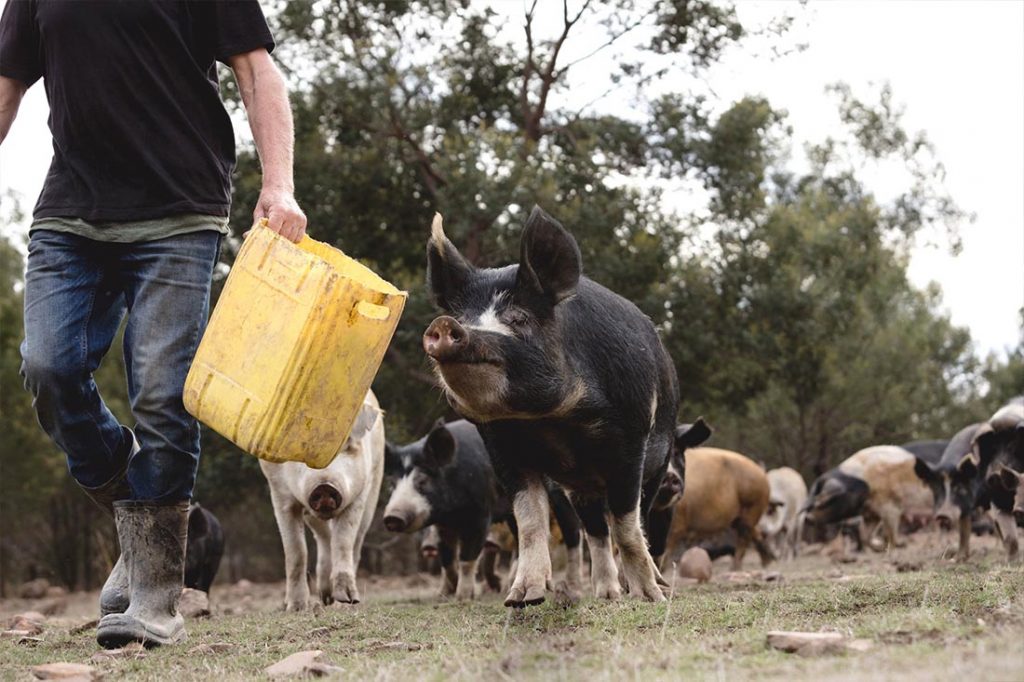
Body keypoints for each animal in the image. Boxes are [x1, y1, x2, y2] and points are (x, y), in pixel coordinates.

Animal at [382, 417, 585, 598]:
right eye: (392, 484)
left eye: (422, 481)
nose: (392, 517)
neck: (452, 512)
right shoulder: (443, 525)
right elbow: (447, 560)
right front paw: (448, 593)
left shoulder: (480, 515)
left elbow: (466, 558)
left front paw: (463, 597)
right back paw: (508, 586)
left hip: (560, 497)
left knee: (573, 533)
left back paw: (572, 585)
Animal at [423, 204, 679, 602]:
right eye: (464, 317)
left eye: (519, 318)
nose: (446, 324)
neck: (550, 420)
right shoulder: (503, 448)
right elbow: (530, 522)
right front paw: (522, 598)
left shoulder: (630, 436)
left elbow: (626, 525)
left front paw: (650, 598)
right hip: (580, 488)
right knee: (596, 532)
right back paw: (606, 594)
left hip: (659, 464)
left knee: (639, 521)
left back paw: (655, 586)